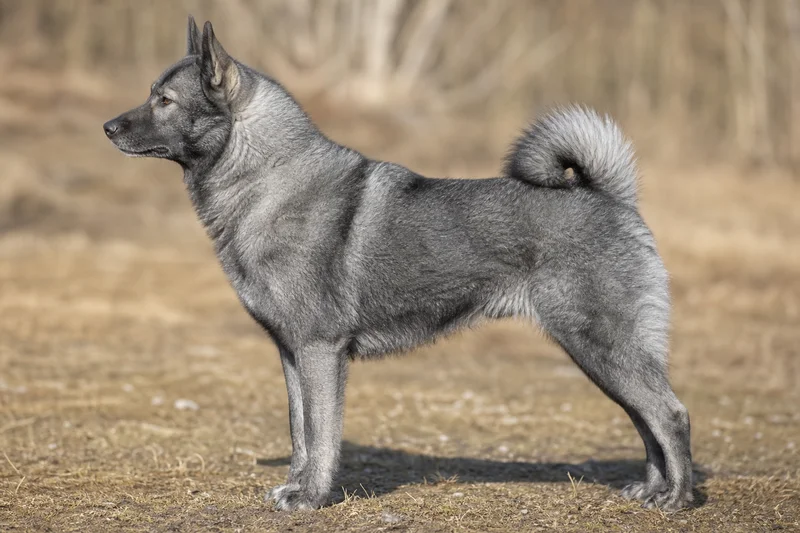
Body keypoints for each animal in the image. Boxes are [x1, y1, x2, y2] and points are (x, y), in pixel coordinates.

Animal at [103, 17, 693, 512]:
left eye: (164, 100)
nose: (108, 127)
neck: (266, 179)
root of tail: (611, 197)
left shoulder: (320, 351)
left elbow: (321, 436)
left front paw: (311, 497)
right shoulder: (291, 353)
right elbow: (299, 434)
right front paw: (294, 487)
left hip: (600, 346)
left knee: (670, 415)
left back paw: (678, 498)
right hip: (602, 356)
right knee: (647, 421)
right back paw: (651, 490)